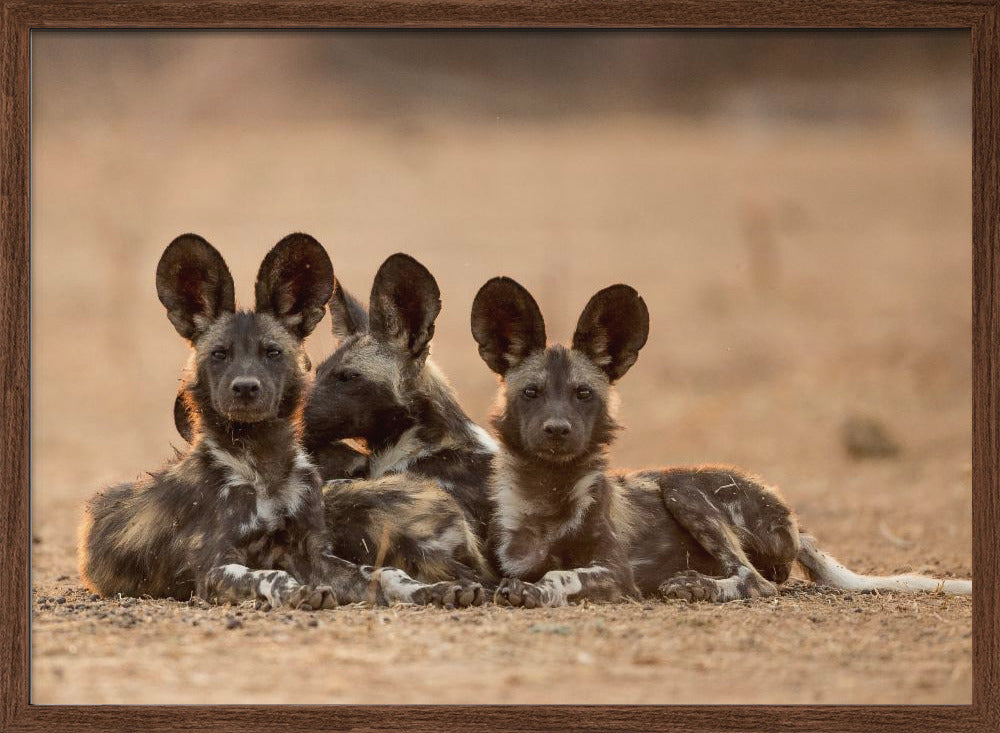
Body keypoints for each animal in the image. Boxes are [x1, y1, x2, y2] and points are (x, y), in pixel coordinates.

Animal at [79, 233, 484, 608]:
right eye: (219, 354)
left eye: (272, 353)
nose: (245, 388)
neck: (264, 463)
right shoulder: (214, 568)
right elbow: (269, 574)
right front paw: (300, 591)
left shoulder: (315, 554)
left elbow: (383, 573)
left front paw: (434, 590)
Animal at [472, 276, 972, 608]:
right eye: (532, 393)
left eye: (583, 394)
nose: (558, 430)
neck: (549, 495)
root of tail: (794, 521)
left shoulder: (615, 575)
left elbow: (562, 575)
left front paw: (535, 590)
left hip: (683, 488)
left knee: (755, 581)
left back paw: (697, 585)